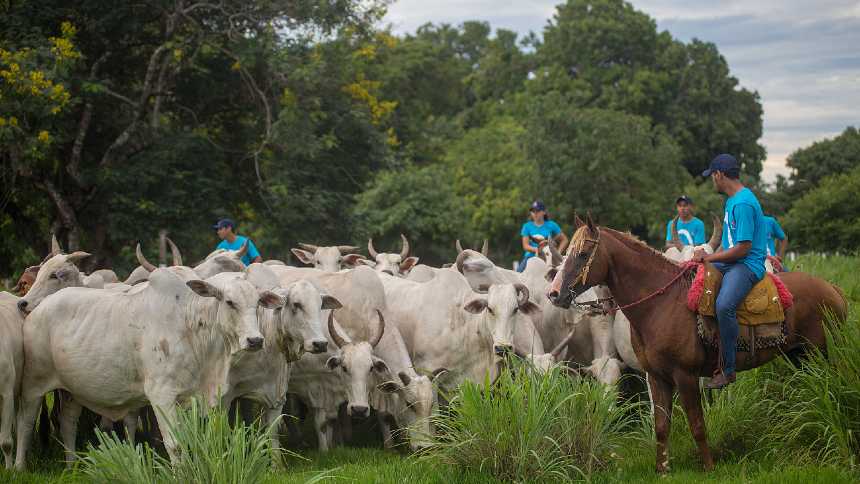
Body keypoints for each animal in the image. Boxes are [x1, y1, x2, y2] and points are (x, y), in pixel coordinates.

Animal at [14, 266, 276, 466]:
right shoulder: (162, 396)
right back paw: (18, 467)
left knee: (68, 423)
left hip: (72, 390)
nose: (255, 340)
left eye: (258, 304)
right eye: (230, 302)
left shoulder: (189, 397)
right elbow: (175, 444)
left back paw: (71, 466)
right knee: (25, 424)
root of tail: (37, 309)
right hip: (33, 384)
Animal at [552, 216, 848, 472]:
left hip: (822, 352)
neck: (661, 303)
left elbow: (697, 423)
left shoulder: (686, 376)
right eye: (565, 256)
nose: (554, 294)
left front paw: (708, 466)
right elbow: (661, 425)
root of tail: (833, 289)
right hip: (799, 355)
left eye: (582, 255)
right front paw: (662, 469)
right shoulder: (656, 376)